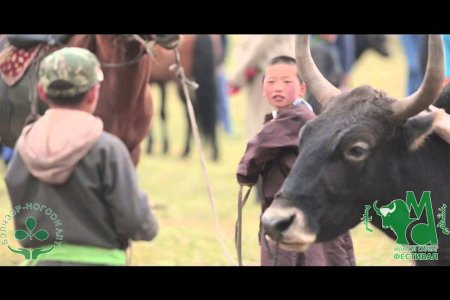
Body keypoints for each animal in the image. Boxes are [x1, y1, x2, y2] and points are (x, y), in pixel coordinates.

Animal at [147, 34, 221, 162]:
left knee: (190, 111)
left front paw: (151, 146)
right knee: (207, 110)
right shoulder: (162, 82)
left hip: (181, 84)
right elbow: (162, 112)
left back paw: (186, 150)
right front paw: (165, 146)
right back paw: (212, 152)